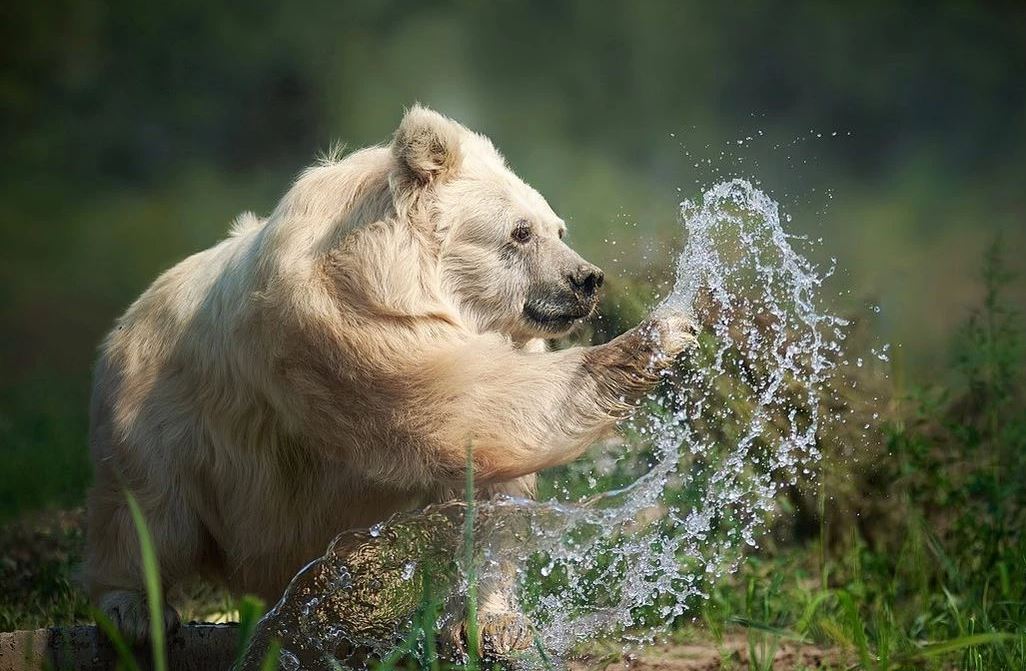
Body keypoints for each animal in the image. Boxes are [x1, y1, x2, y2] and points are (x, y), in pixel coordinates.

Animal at [82, 103, 697, 656]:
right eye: (521, 232)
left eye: (558, 227)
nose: (586, 279)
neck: (388, 271)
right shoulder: (345, 324)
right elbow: (458, 405)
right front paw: (659, 335)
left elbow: (487, 497)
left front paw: (492, 623)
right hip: (162, 420)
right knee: (148, 515)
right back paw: (136, 611)